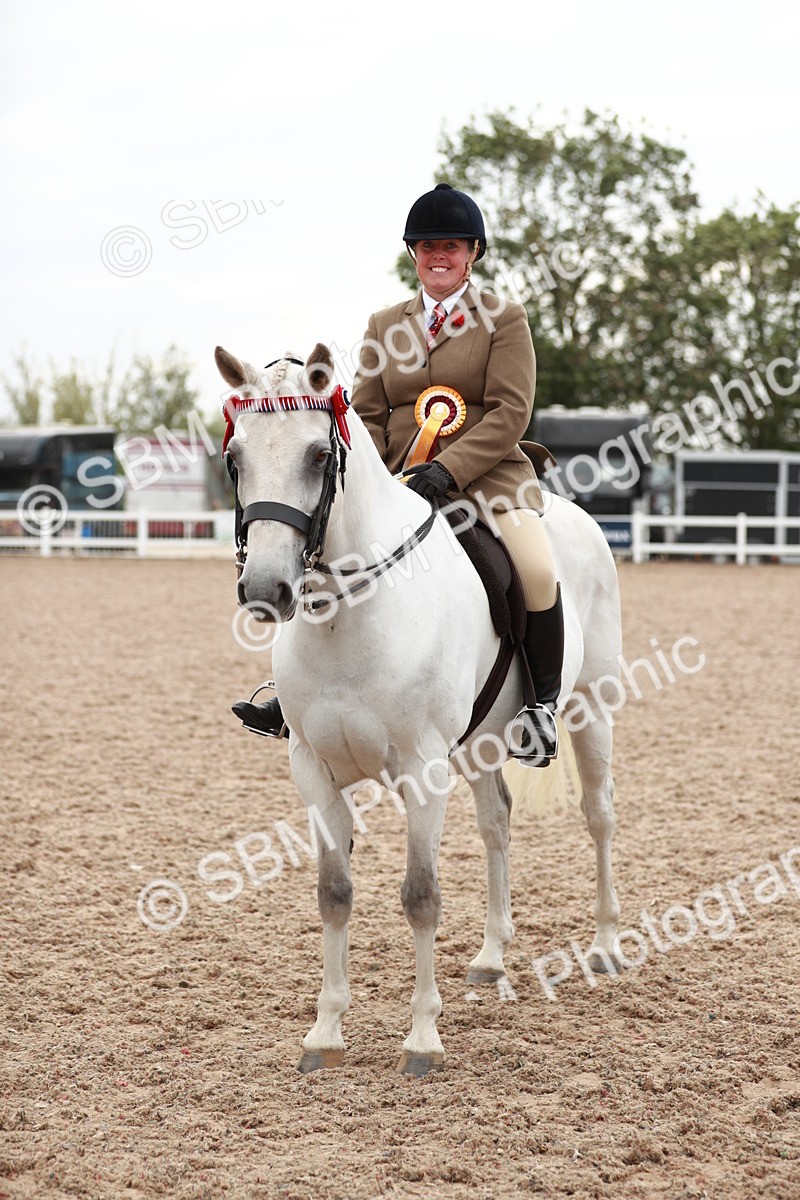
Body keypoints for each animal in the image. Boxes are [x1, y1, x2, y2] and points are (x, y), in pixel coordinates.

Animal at [217, 342, 624, 1076]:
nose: (266, 589)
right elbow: (334, 893)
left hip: (591, 711)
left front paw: (422, 1038)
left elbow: (421, 896)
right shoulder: (312, 771)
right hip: (482, 742)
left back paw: (606, 946)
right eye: (236, 458)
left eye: (318, 455)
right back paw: (492, 956)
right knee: (497, 823)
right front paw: (325, 1031)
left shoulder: (422, 771)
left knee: (599, 816)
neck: (346, 616)